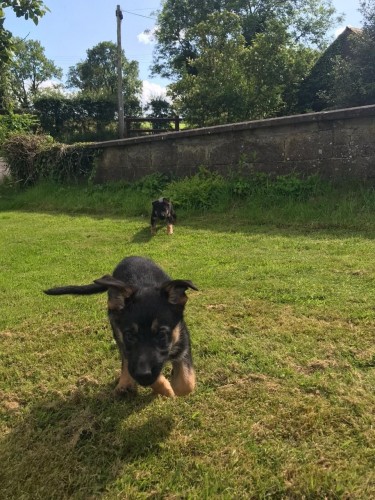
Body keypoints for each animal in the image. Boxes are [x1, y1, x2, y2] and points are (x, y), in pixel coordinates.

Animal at [44, 256, 198, 396]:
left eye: (161, 334)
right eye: (130, 335)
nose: (142, 375)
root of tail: (130, 257)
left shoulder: (182, 337)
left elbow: (186, 383)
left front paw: (173, 382)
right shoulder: (128, 347)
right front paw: (165, 388)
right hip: (116, 330)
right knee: (124, 360)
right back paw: (124, 383)